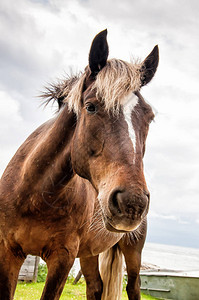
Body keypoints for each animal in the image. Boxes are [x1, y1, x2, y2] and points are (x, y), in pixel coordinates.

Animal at [0, 28, 159, 300]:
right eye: (91, 107)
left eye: (149, 117)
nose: (132, 203)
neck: (35, 195)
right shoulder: (8, 251)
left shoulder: (62, 258)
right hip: (88, 254)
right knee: (95, 287)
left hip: (132, 250)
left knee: (133, 286)